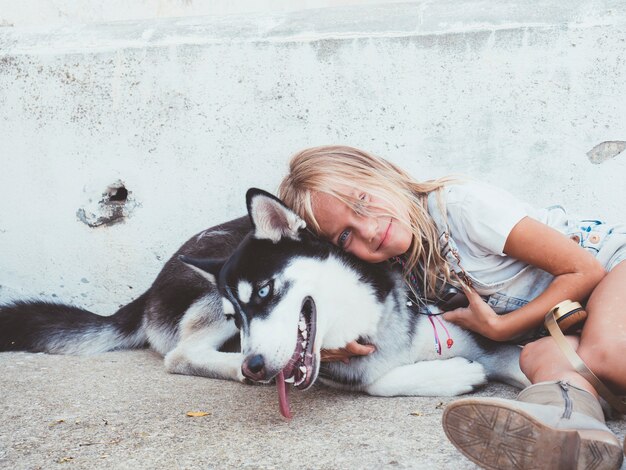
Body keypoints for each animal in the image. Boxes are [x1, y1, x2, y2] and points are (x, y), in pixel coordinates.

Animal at [0, 189, 528, 416]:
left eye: (265, 292)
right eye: (237, 315)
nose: (254, 365)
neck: (370, 321)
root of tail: (152, 284)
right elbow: (377, 382)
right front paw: (454, 374)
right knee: (180, 355)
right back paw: (230, 368)